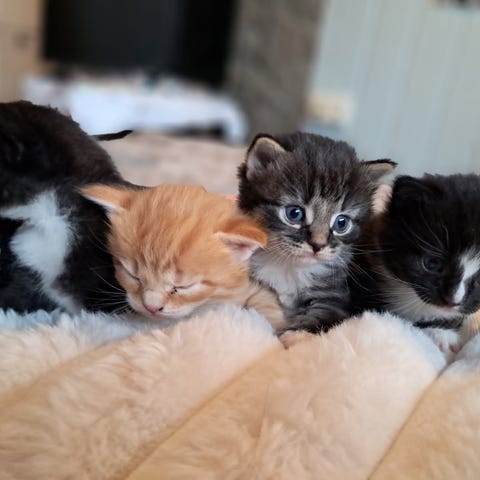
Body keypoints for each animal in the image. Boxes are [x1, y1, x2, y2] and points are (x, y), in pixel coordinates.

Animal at [237, 132, 395, 333]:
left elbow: (313, 322)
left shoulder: (333, 297)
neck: (289, 267)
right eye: (294, 213)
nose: (318, 245)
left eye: (341, 223)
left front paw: (291, 335)